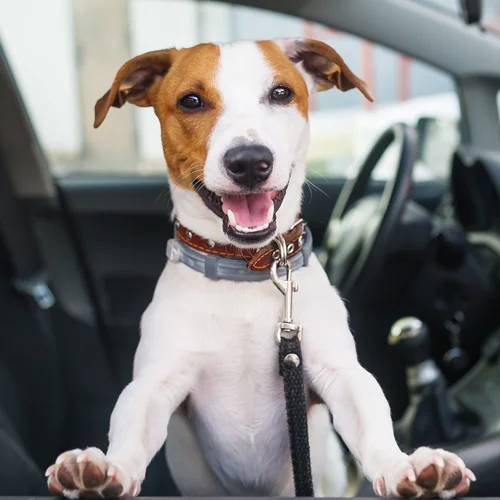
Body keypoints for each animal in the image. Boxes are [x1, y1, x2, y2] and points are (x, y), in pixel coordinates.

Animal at [47, 39, 476, 500]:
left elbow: (371, 417)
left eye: (281, 93)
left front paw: (404, 466)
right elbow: (131, 424)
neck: (246, 269)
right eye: (191, 101)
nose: (250, 161)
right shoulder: (157, 380)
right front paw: (105, 471)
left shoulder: (337, 373)